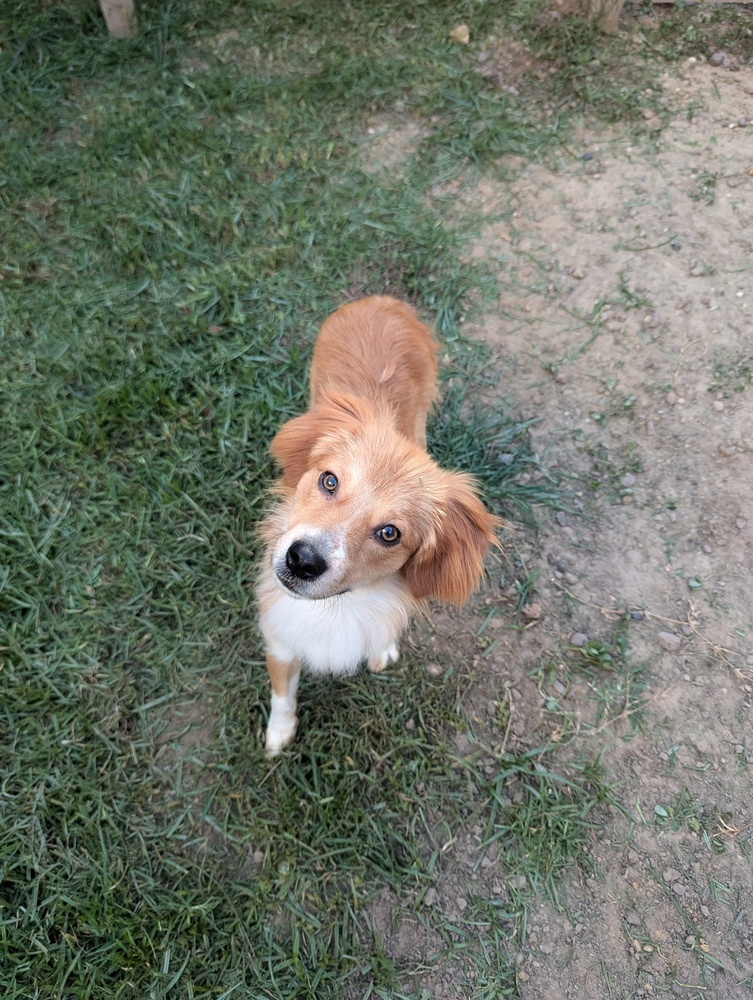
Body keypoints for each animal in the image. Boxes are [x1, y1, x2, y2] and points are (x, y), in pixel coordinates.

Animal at [258, 294, 500, 752]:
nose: (303, 560)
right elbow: (282, 694)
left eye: (390, 533)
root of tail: (380, 301)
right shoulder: (280, 638)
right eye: (329, 480)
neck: (338, 607)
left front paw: (381, 648)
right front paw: (279, 733)